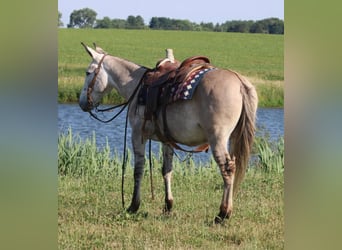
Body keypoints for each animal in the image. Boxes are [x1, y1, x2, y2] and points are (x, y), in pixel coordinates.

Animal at [79, 43, 258, 223]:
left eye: (88, 72)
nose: (82, 103)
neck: (137, 86)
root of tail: (238, 80)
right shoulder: (167, 140)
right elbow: (167, 170)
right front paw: (168, 205)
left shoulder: (137, 135)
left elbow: (138, 170)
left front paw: (133, 206)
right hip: (233, 138)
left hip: (218, 139)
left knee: (227, 170)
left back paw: (223, 213)